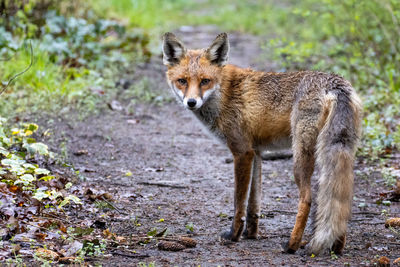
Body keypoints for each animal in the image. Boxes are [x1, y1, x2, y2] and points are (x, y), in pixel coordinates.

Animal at [162, 32, 362, 256]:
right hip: (340, 152)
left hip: (300, 157)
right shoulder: (256, 151)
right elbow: (254, 203)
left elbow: (239, 202)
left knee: (308, 199)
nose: (191, 102)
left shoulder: (241, 151)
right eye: (182, 81)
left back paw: (292, 244)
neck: (224, 93)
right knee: (342, 199)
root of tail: (335, 84)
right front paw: (251, 233)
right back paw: (337, 247)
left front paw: (234, 235)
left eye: (205, 81)